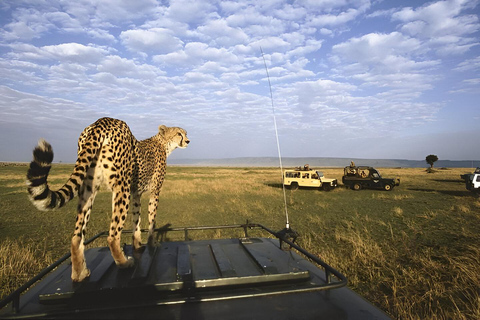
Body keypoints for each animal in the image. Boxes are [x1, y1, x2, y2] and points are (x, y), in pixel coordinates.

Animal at [26, 116, 189, 282]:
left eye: (184, 133)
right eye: (179, 133)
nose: (188, 141)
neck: (163, 143)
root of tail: (102, 121)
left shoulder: (136, 193)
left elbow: (136, 220)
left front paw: (137, 244)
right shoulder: (154, 192)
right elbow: (151, 220)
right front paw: (152, 243)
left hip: (89, 188)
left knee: (76, 237)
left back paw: (79, 273)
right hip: (121, 186)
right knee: (112, 235)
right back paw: (124, 263)